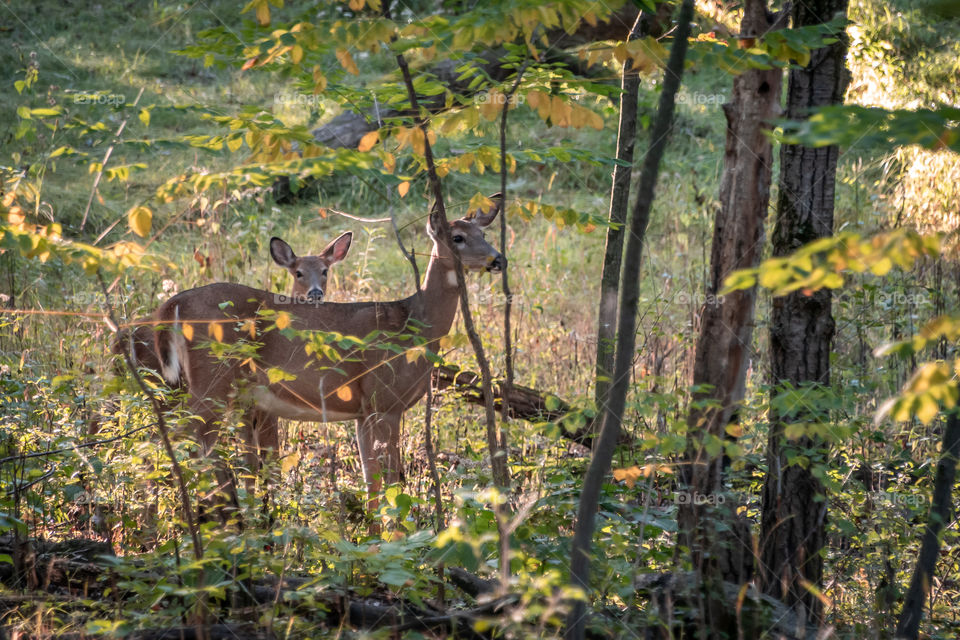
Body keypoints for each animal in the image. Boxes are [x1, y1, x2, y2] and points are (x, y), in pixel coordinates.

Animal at [110, 232, 353, 484]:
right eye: (298, 272)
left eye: (325, 271)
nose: (315, 293)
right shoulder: (264, 406)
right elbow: (270, 459)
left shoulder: (246, 407)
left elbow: (251, 460)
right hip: (196, 382)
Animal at [151, 196, 504, 517]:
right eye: (457, 237)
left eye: (483, 233)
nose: (498, 259)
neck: (415, 324)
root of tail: (172, 305)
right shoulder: (386, 400)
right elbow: (393, 481)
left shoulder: (363, 410)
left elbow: (371, 481)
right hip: (212, 379)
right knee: (191, 442)